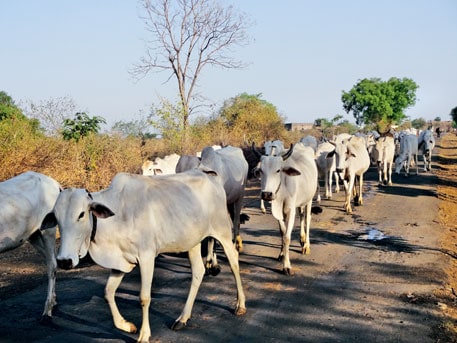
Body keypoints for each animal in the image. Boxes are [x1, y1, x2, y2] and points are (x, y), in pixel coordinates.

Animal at [0, 173, 61, 322]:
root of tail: (54, 183)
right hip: (33, 235)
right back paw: (54, 301)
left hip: (48, 229)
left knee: (52, 264)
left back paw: (47, 311)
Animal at [39, 171, 246, 343]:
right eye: (56, 218)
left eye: (81, 214)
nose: (64, 261)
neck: (115, 218)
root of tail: (210, 175)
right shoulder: (120, 263)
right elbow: (108, 292)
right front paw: (126, 325)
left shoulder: (146, 257)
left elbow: (144, 297)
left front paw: (144, 334)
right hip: (192, 242)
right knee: (198, 271)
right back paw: (183, 318)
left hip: (222, 231)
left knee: (234, 262)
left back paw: (240, 305)